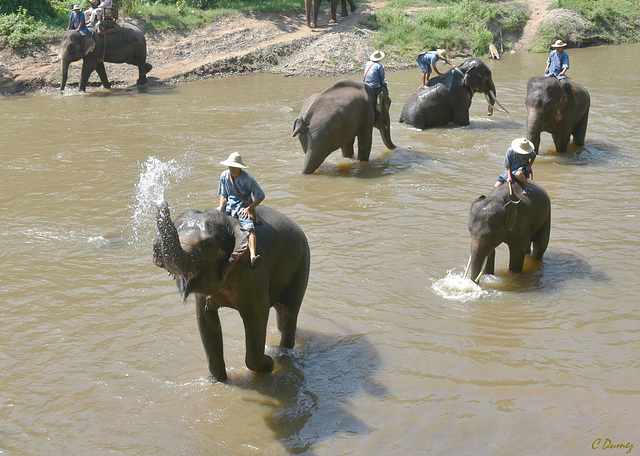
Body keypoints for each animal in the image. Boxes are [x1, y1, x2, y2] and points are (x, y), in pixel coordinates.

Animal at [151, 200, 308, 382]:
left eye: (206, 246)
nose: (162, 202)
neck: (231, 224)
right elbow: (206, 322)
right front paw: (217, 381)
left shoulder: (254, 272)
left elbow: (257, 317)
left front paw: (269, 364)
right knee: (281, 311)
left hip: (301, 264)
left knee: (290, 310)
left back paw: (283, 353)